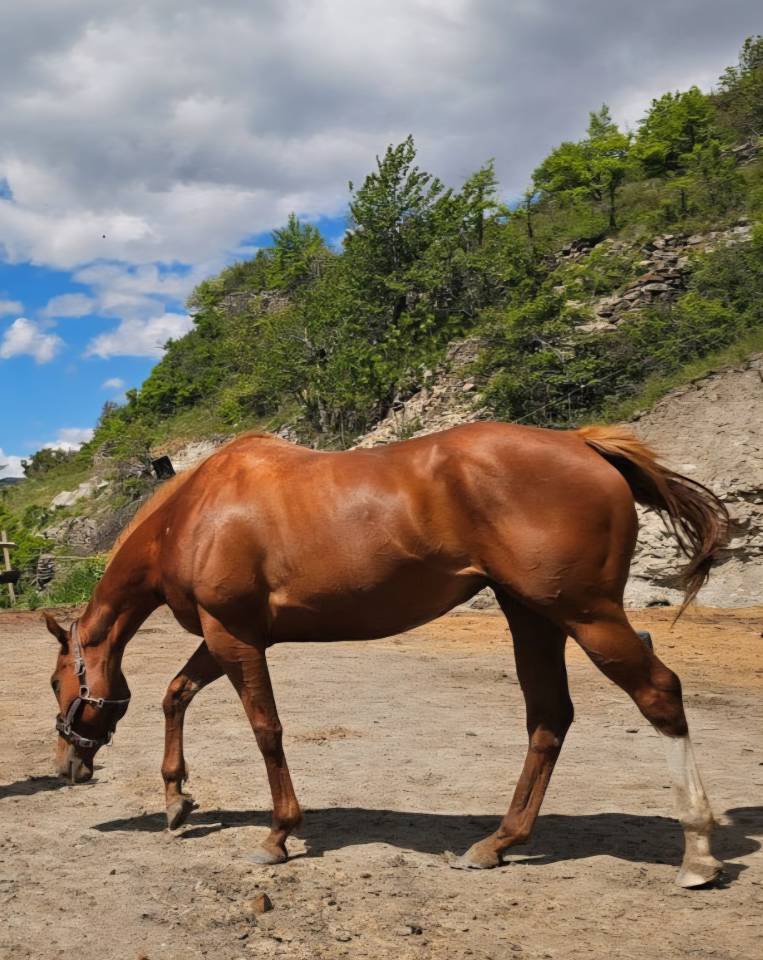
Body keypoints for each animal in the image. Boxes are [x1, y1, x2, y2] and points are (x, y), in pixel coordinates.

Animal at [43, 421, 729, 887]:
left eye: (56, 685)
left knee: (659, 694)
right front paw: (176, 800)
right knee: (549, 718)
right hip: (533, 616)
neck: (191, 515)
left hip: (586, 615)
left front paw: (278, 834)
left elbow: (266, 730)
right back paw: (498, 843)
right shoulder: (227, 639)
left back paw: (697, 853)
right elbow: (175, 694)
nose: (65, 767)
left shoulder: (232, 637)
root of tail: (583, 444)